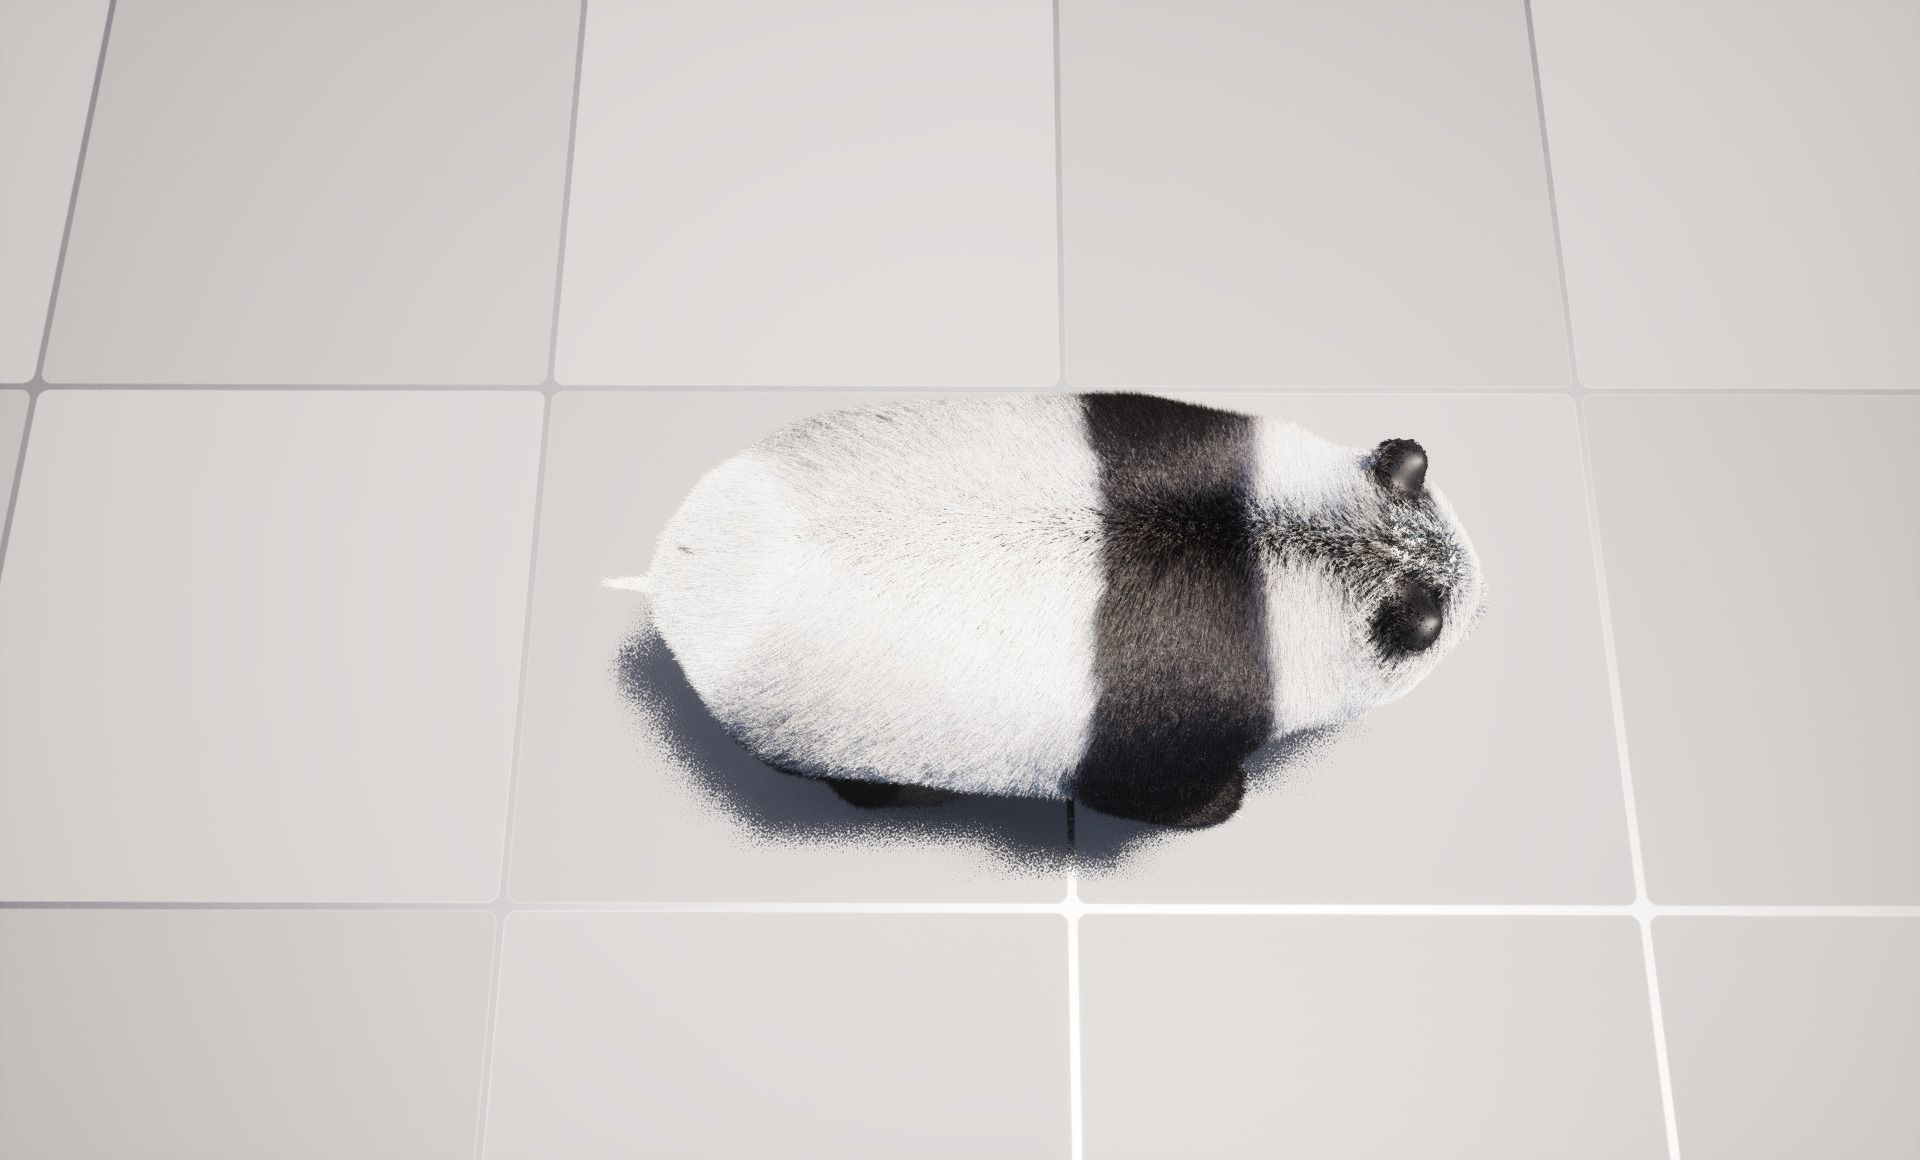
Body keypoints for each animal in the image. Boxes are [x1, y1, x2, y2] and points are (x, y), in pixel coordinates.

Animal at [609, 392, 1486, 830]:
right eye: (1431, 627)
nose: (1479, 594)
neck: (1258, 557)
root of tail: (683, 562)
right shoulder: (1163, 716)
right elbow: (1148, 789)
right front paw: (1224, 801)